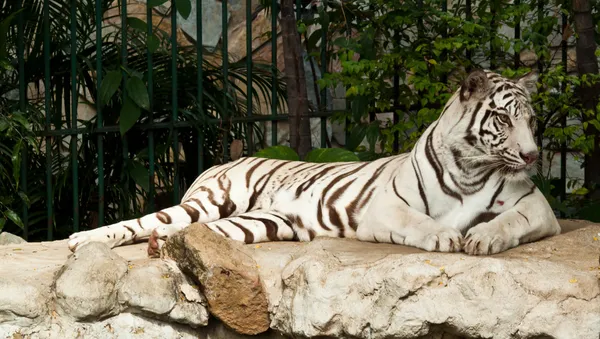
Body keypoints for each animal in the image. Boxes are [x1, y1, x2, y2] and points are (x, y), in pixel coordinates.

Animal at [67, 71, 564, 258]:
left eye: (531, 121)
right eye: (503, 119)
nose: (532, 155)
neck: (471, 169)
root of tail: (217, 163)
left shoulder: (537, 206)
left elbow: (510, 220)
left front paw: (482, 237)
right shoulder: (386, 208)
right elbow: (419, 221)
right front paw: (445, 235)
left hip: (262, 222)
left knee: (183, 233)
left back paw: (163, 248)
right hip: (207, 202)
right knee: (140, 222)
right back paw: (82, 239)